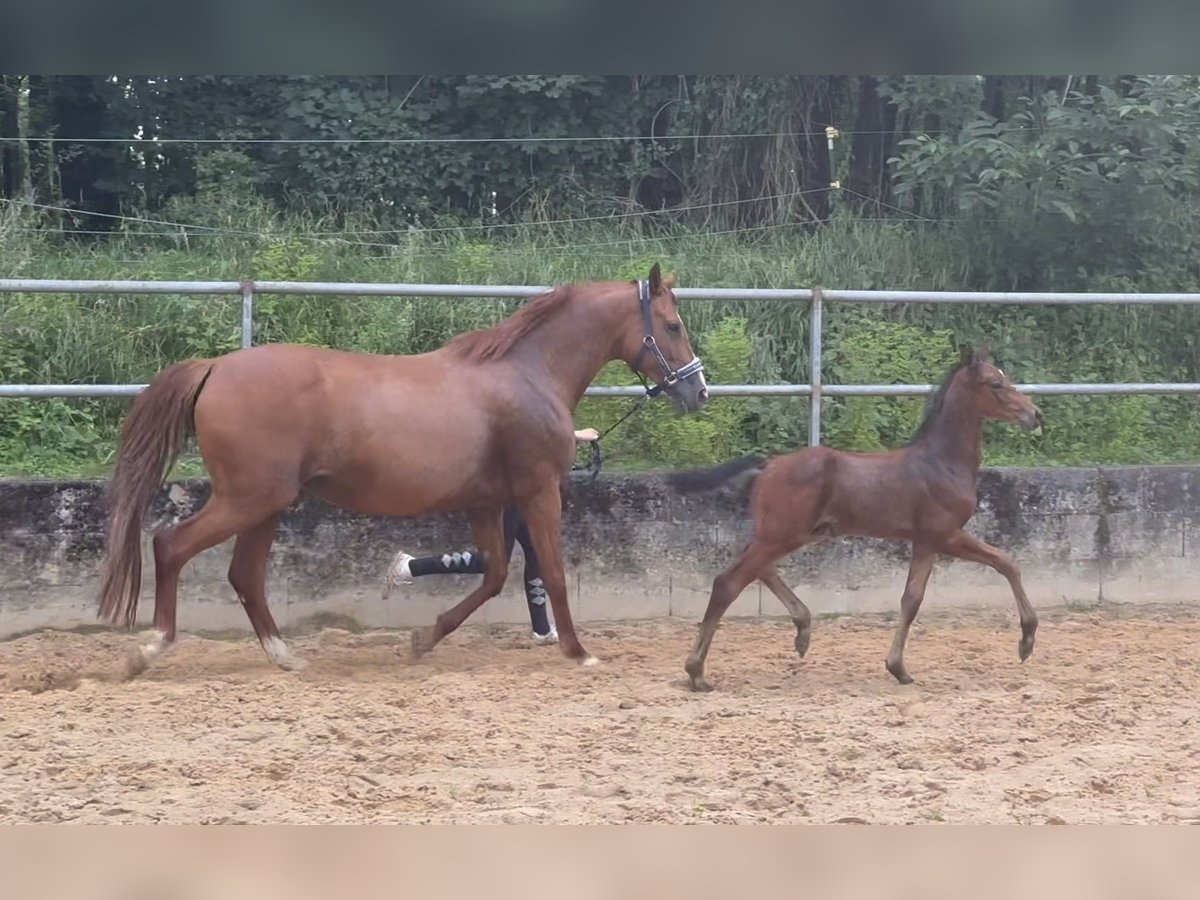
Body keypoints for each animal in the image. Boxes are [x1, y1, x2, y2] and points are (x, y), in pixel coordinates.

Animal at [97, 264, 708, 676]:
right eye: (673, 325)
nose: (699, 391)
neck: (528, 374)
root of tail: (216, 367)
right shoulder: (538, 491)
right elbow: (551, 572)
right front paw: (580, 653)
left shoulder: (486, 501)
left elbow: (492, 575)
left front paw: (421, 641)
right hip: (247, 499)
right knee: (171, 546)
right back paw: (149, 648)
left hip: (265, 504)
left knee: (244, 575)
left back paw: (285, 656)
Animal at [663, 346, 1043, 691]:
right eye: (996, 383)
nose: (1035, 414)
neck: (942, 463)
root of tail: (769, 464)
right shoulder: (945, 535)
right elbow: (1006, 563)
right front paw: (1026, 641)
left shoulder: (925, 542)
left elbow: (911, 599)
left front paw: (898, 668)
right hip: (782, 535)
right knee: (728, 583)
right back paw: (696, 672)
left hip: (784, 534)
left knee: (760, 571)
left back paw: (802, 629)